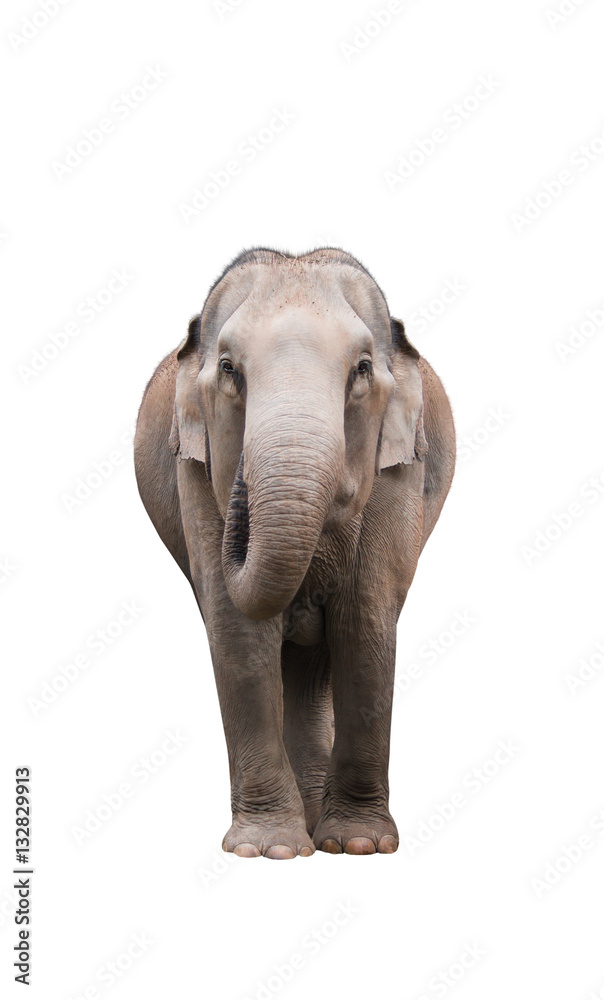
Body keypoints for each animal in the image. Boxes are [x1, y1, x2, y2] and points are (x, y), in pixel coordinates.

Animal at [134, 247, 455, 859]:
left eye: (361, 369)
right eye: (229, 369)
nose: (241, 492)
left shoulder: (400, 470)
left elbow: (365, 620)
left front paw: (359, 845)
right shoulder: (194, 474)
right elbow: (236, 631)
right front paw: (270, 850)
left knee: (315, 663)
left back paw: (319, 826)